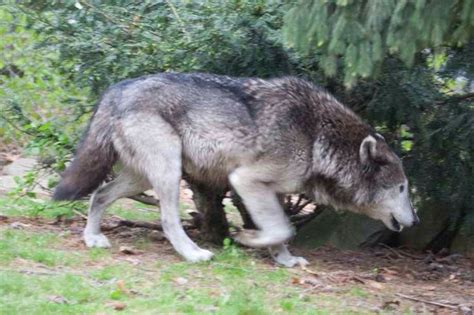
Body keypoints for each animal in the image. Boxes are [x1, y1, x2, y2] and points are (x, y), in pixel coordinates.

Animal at [53, 73, 420, 268]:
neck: (318, 136)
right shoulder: (245, 180)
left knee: (99, 195)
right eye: (402, 188)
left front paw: (284, 261)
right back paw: (193, 253)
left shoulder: (272, 191)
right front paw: (248, 238)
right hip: (169, 172)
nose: (416, 221)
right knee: (168, 219)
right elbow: (282, 228)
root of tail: (118, 88)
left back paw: (92, 238)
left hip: (140, 176)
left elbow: (282, 231)